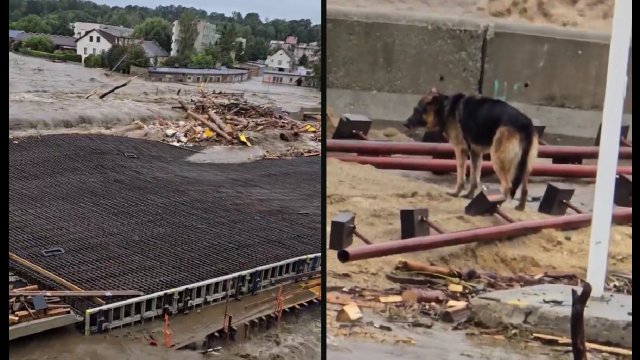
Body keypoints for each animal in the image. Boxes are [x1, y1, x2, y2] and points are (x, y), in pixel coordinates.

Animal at [404, 88, 536, 211]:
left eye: (417, 110)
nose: (405, 124)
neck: (445, 108)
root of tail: (526, 124)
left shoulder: (460, 150)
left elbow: (461, 176)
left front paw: (456, 193)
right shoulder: (475, 153)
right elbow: (474, 178)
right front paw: (469, 195)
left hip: (498, 160)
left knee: (508, 186)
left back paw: (496, 206)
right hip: (526, 165)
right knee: (524, 189)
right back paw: (520, 207)